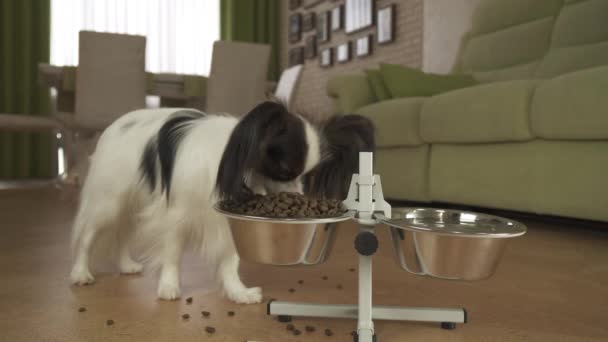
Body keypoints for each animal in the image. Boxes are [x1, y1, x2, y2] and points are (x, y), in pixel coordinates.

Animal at [71, 100, 376, 304]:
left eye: (309, 177)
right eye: (284, 171)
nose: (299, 199)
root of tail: (116, 123)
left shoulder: (228, 222)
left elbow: (231, 261)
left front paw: (238, 293)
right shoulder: (175, 216)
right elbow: (172, 253)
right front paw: (169, 287)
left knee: (122, 234)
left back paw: (126, 265)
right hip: (108, 202)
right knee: (87, 237)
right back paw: (81, 273)